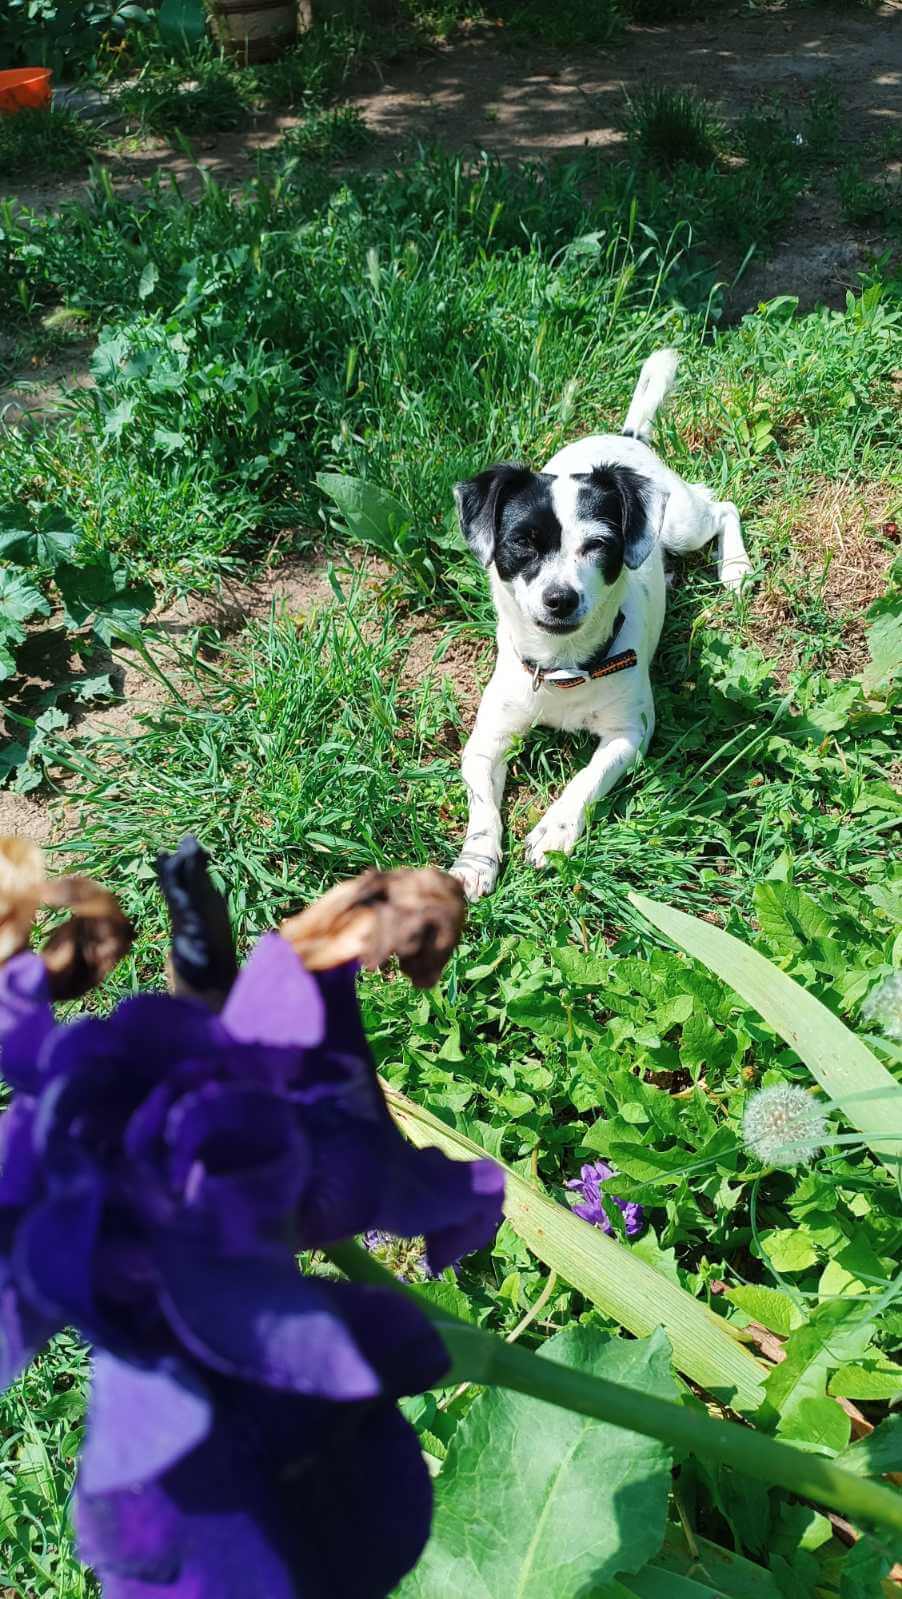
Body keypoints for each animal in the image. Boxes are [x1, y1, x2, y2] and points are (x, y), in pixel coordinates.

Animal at [450, 348, 752, 901]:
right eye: (522, 543)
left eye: (598, 545)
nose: (560, 598)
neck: (564, 668)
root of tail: (627, 437)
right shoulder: (486, 743)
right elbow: (483, 809)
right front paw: (476, 860)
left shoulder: (630, 734)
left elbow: (586, 779)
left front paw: (554, 830)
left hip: (683, 523)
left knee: (722, 506)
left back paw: (735, 567)